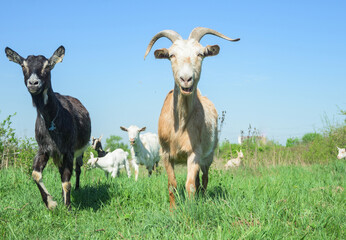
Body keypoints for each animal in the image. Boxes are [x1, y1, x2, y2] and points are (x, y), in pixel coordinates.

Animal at [5, 46, 91, 209]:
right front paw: (51, 203)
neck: (52, 120)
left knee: (77, 168)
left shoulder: (68, 150)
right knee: (62, 171)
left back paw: (77, 188)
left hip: (81, 150)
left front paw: (68, 208)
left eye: (47, 66)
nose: (33, 83)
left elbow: (67, 182)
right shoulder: (44, 148)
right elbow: (36, 174)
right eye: (23, 65)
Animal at [145, 26, 239, 208]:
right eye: (171, 55)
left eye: (200, 54)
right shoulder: (165, 154)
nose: (186, 79)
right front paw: (173, 210)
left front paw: (189, 210)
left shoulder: (194, 152)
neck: (180, 125)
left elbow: (190, 186)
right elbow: (172, 185)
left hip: (208, 156)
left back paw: (203, 197)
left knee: (204, 179)